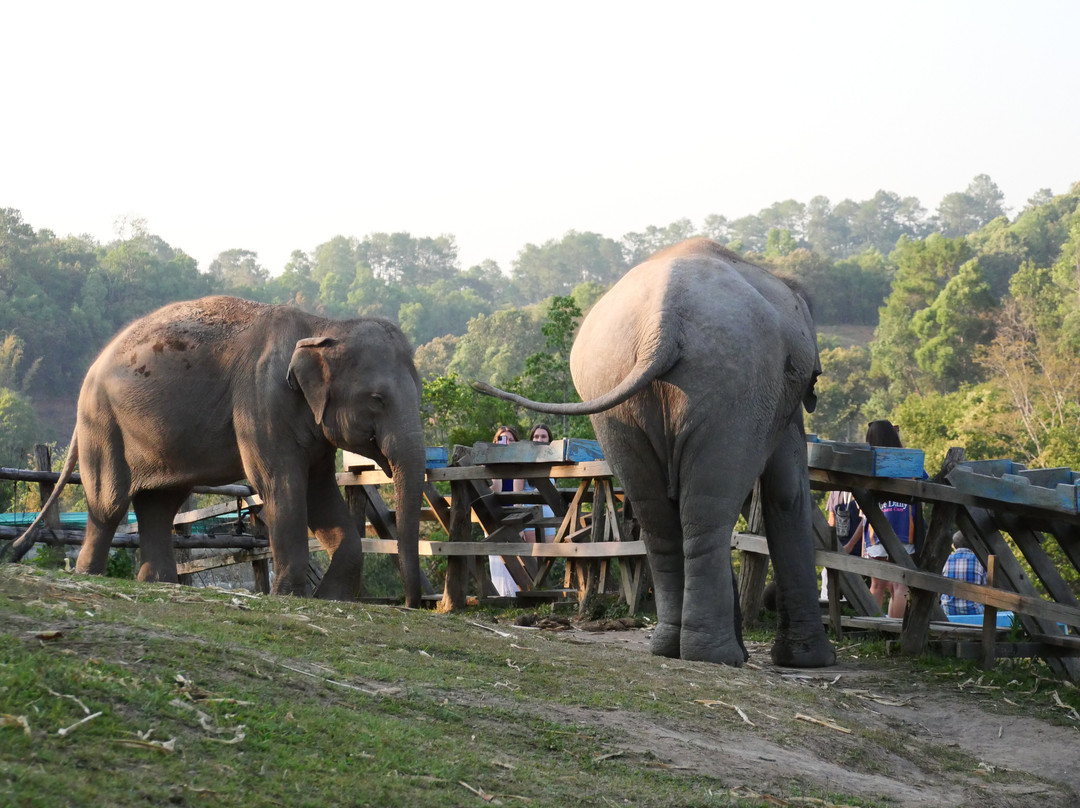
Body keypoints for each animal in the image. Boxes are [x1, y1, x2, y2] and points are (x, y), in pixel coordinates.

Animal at [5, 296, 425, 606]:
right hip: (103, 422)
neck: (323, 326)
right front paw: (289, 597)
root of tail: (92, 370)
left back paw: (157, 583)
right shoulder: (260, 401)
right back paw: (89, 575)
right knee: (109, 504)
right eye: (377, 399)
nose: (412, 603)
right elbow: (281, 486)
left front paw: (331, 598)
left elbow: (318, 493)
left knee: (159, 504)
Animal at [474, 238, 835, 667]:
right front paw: (812, 661)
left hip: (618, 394)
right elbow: (787, 491)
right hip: (733, 385)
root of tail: (662, 327)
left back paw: (676, 648)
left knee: (658, 516)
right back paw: (717, 656)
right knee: (707, 512)